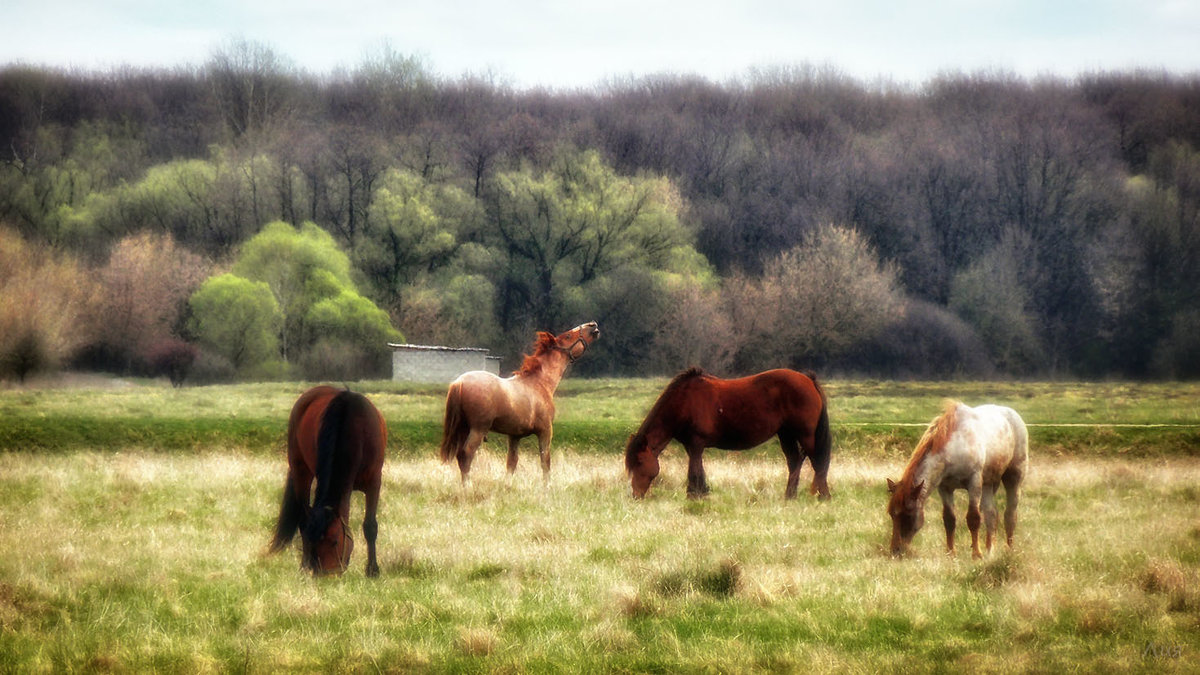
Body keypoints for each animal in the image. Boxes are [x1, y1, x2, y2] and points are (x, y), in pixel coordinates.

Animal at [270, 386, 386, 576]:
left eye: (335, 541)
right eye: (314, 543)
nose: (325, 574)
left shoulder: (374, 481)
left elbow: (370, 526)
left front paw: (372, 571)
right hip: (300, 471)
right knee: (303, 518)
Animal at [441, 319, 600, 478]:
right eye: (568, 336)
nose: (592, 325)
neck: (540, 382)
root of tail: (459, 382)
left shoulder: (514, 436)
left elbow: (511, 463)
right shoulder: (545, 431)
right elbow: (545, 463)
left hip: (463, 429)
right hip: (478, 429)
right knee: (466, 454)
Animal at [624, 365, 830, 497]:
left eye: (639, 461)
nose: (635, 495)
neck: (683, 402)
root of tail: (809, 380)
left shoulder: (696, 443)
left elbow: (694, 471)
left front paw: (693, 496)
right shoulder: (691, 446)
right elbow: (699, 469)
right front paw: (702, 493)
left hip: (806, 435)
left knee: (817, 463)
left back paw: (823, 496)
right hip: (786, 434)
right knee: (794, 462)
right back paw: (789, 496)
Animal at [883, 398, 1032, 557]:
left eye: (908, 515)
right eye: (892, 515)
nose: (896, 551)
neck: (954, 447)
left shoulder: (974, 483)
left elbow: (973, 518)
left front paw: (976, 554)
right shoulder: (945, 488)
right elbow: (949, 519)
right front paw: (951, 553)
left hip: (1013, 478)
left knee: (1010, 515)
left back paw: (1009, 550)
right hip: (989, 484)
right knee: (991, 514)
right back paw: (990, 551)